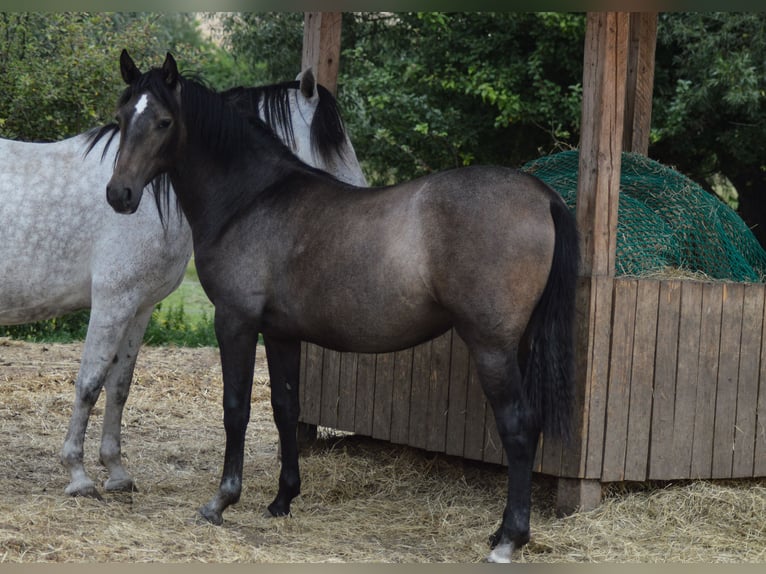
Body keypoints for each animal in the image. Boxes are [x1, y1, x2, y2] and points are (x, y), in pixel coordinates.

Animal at [96, 51, 580, 564]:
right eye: (122, 117)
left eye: (164, 121)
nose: (119, 194)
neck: (252, 199)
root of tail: (543, 196)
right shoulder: (281, 333)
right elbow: (285, 407)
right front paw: (283, 499)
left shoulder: (235, 322)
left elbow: (236, 408)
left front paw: (221, 501)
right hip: (516, 345)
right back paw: (500, 533)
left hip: (491, 347)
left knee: (518, 426)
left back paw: (509, 540)